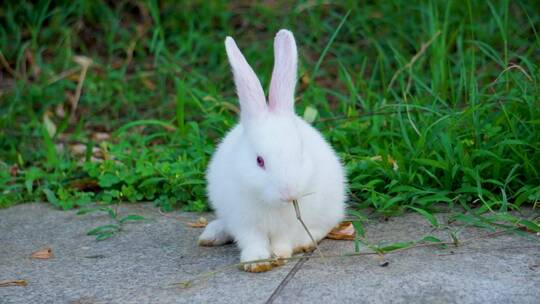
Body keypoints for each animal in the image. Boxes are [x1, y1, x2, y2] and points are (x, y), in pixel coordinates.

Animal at [198, 29, 346, 272]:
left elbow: (283, 239)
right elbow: (252, 240)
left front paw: (280, 255)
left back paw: (304, 242)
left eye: (300, 154)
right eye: (260, 161)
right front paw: (256, 262)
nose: (289, 194)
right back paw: (212, 234)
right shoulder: (244, 221)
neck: (270, 202)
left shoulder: (289, 224)